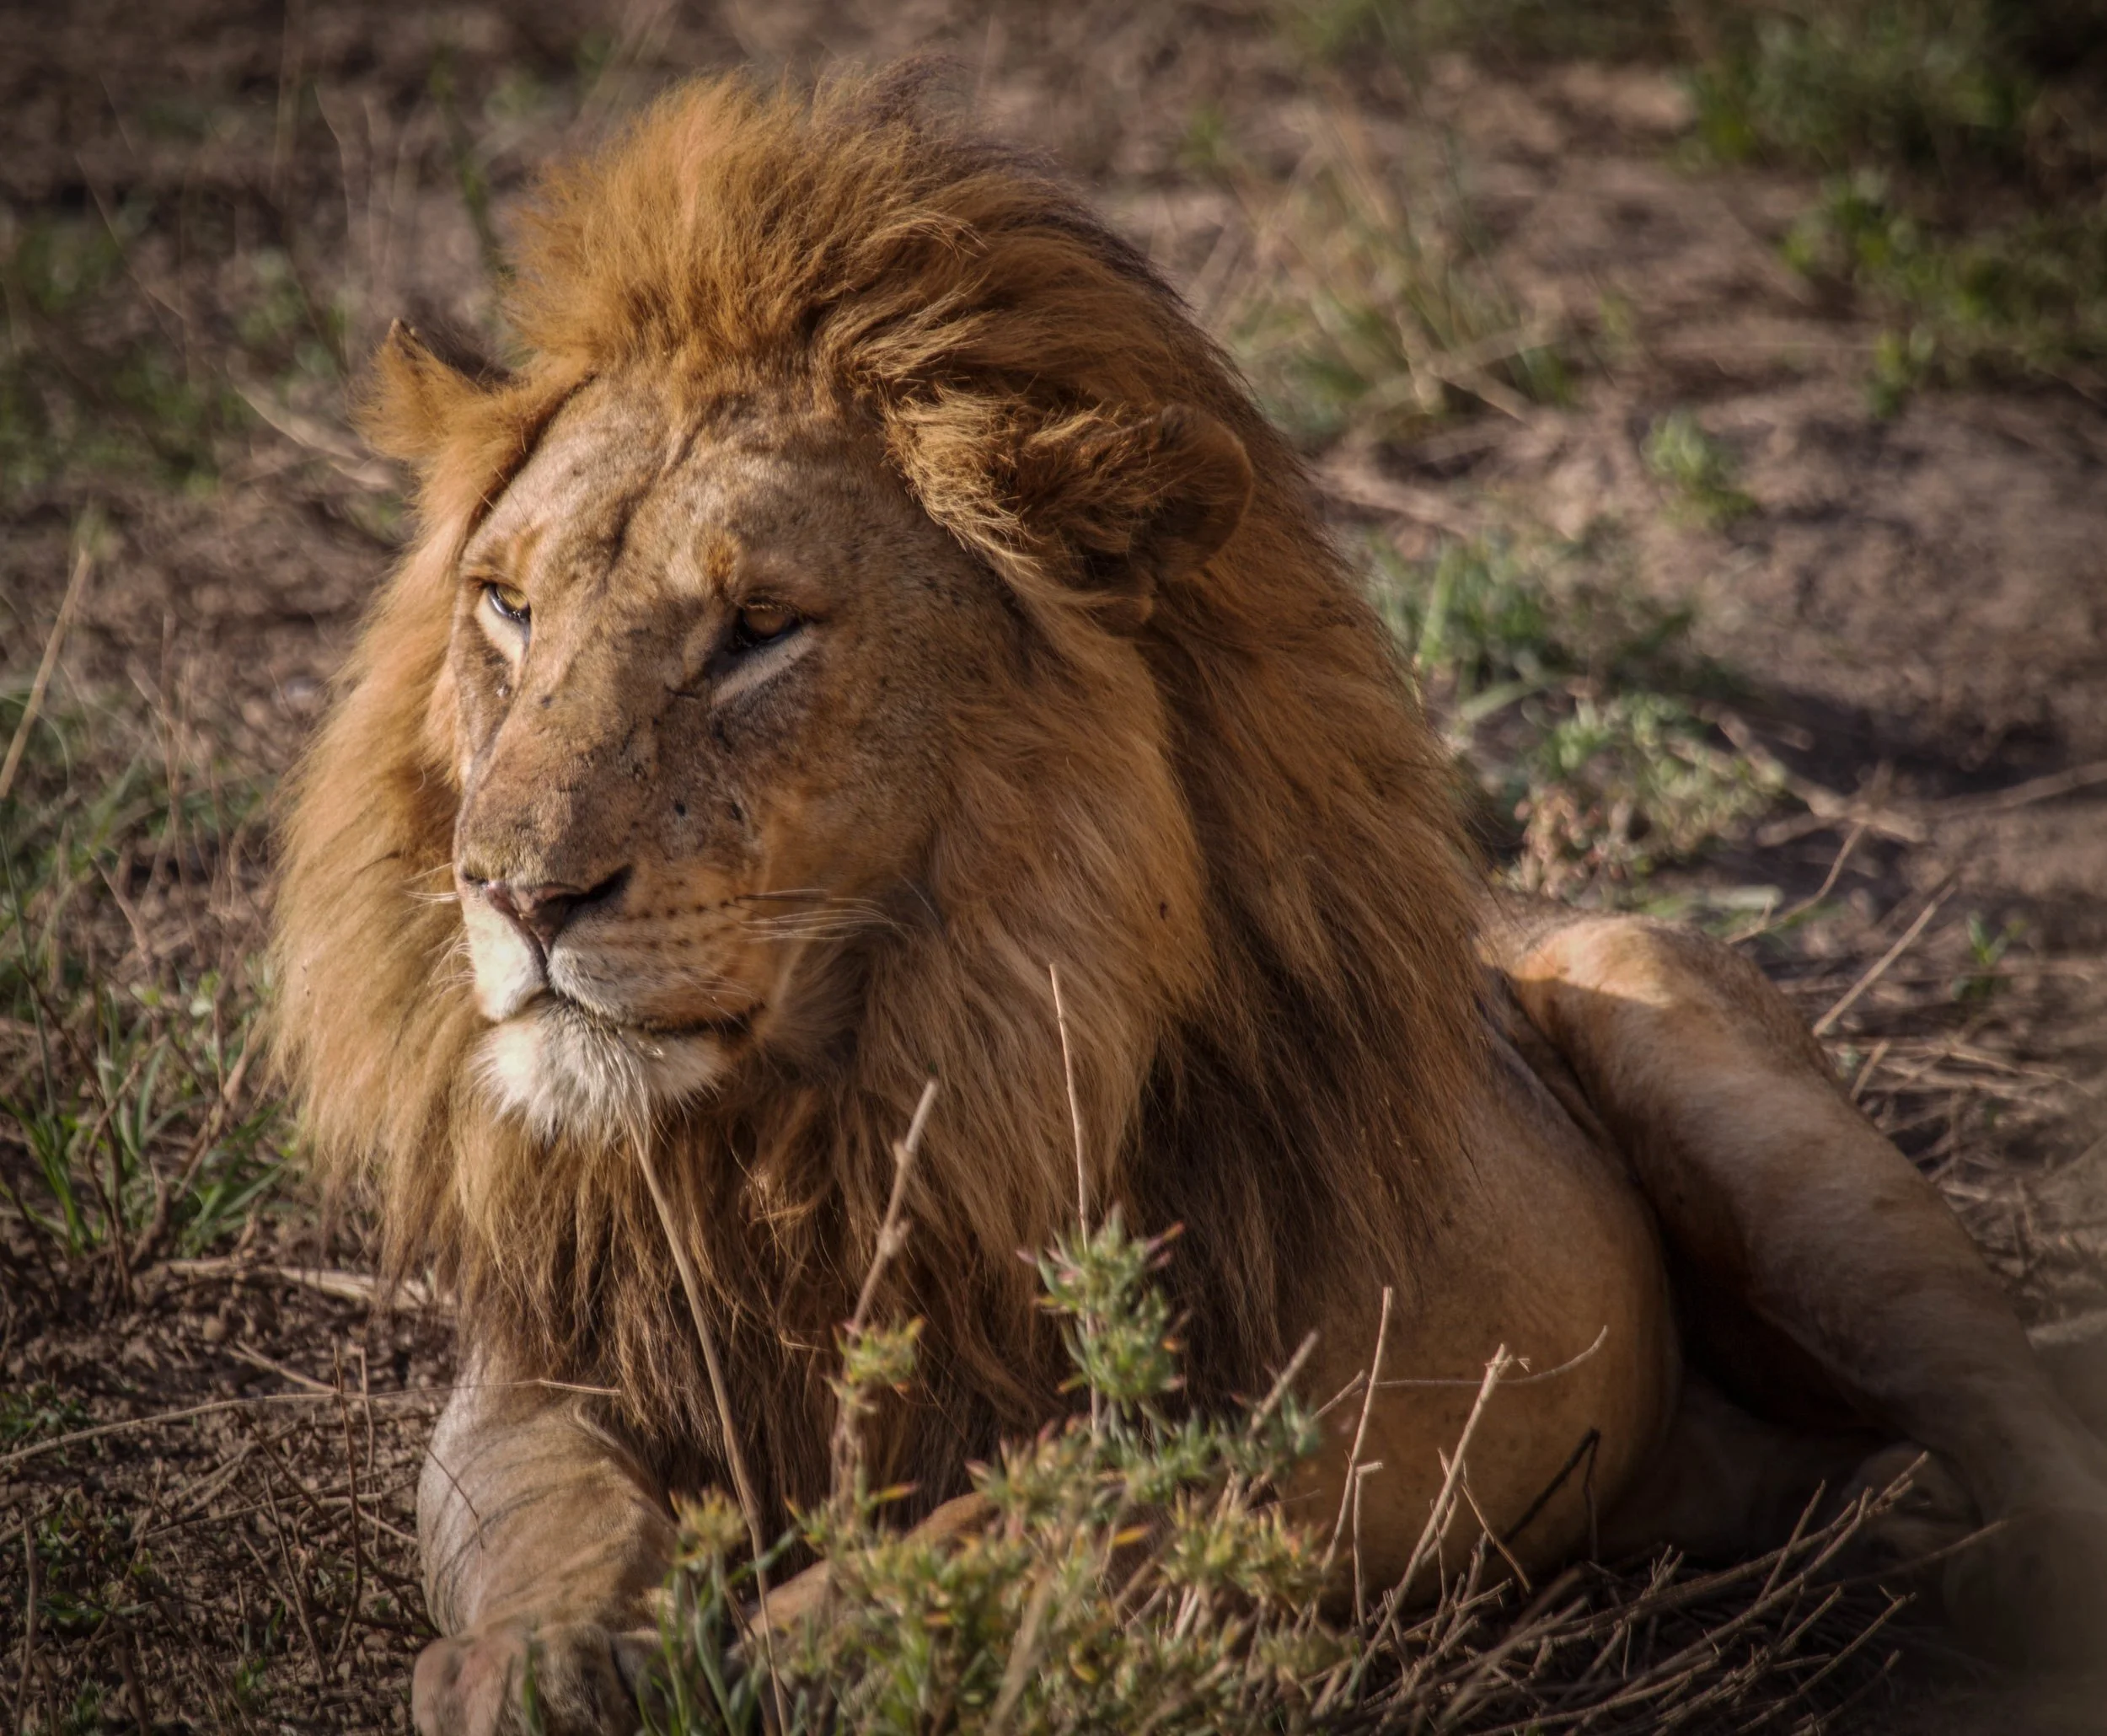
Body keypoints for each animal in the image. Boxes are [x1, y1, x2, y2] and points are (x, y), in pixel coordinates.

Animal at [273, 73, 2107, 1735]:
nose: (515, 893)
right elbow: (552, 1515)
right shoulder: (547, 1365)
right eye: (507, 607)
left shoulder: (1305, 1404)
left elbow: (1024, 1519)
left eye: (759, 631)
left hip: (1727, 1085)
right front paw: (540, 1662)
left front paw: (795, 1651)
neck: (837, 1110)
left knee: (2010, 1404)